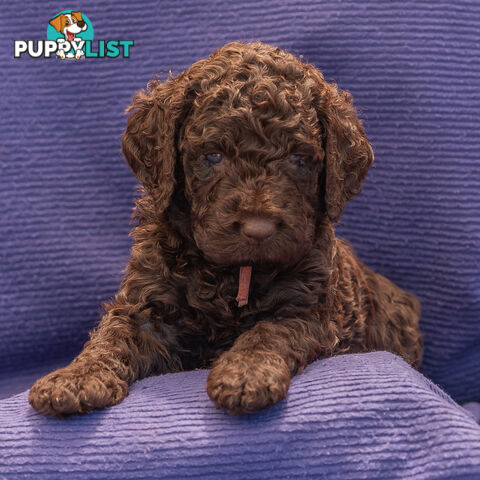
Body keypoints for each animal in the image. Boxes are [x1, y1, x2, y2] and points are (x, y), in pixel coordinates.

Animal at [28, 40, 422, 416]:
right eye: (213, 156)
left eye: (299, 160)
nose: (258, 229)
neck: (234, 274)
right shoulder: (147, 305)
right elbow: (113, 336)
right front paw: (75, 378)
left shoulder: (311, 309)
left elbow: (270, 331)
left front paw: (245, 375)